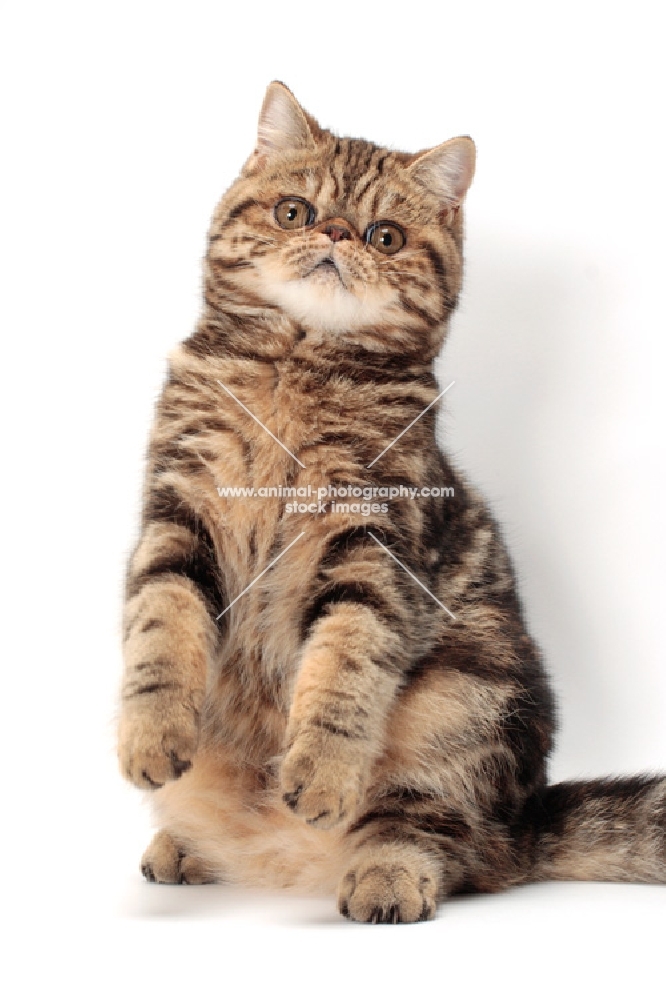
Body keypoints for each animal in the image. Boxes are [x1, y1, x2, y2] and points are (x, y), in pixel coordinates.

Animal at [119, 80, 664, 920]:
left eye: (385, 236)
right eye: (295, 212)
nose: (338, 233)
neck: (294, 370)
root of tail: (527, 823)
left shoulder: (374, 546)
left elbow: (344, 668)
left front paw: (318, 772)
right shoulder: (177, 516)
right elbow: (160, 631)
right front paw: (148, 736)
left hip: (463, 696)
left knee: (434, 831)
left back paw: (381, 872)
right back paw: (187, 846)